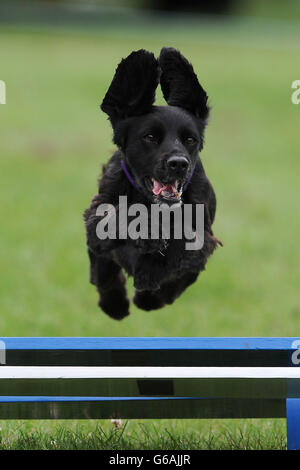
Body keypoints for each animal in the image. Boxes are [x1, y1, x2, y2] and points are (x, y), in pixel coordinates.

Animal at [84, 47, 220, 320]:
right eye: (149, 137)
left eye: (190, 139)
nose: (179, 164)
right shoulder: (95, 219)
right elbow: (105, 257)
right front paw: (115, 305)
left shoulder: (202, 242)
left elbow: (175, 268)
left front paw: (149, 294)